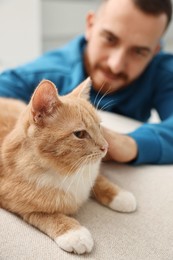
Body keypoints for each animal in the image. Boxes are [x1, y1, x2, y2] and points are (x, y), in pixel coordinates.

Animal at [0, 77, 137, 254]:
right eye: (80, 134)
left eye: (99, 126)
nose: (106, 147)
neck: (67, 172)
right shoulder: (13, 201)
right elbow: (47, 215)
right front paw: (74, 233)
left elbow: (98, 180)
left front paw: (119, 195)